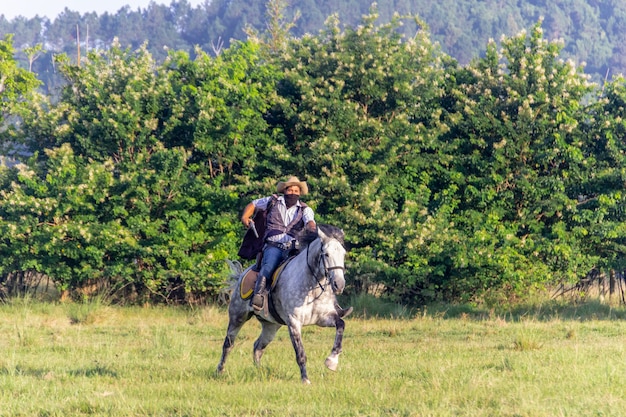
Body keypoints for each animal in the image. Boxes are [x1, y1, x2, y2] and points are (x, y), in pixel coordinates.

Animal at [217, 224, 348, 384]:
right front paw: (305, 380)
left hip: (271, 326)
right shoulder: (294, 322)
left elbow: (341, 324)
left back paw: (260, 372)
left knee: (258, 347)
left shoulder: (323, 318)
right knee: (228, 344)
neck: (311, 287)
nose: (339, 284)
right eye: (327, 254)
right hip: (238, 317)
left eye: (343, 254)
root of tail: (241, 275)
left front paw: (332, 361)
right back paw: (220, 371)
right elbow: (300, 353)